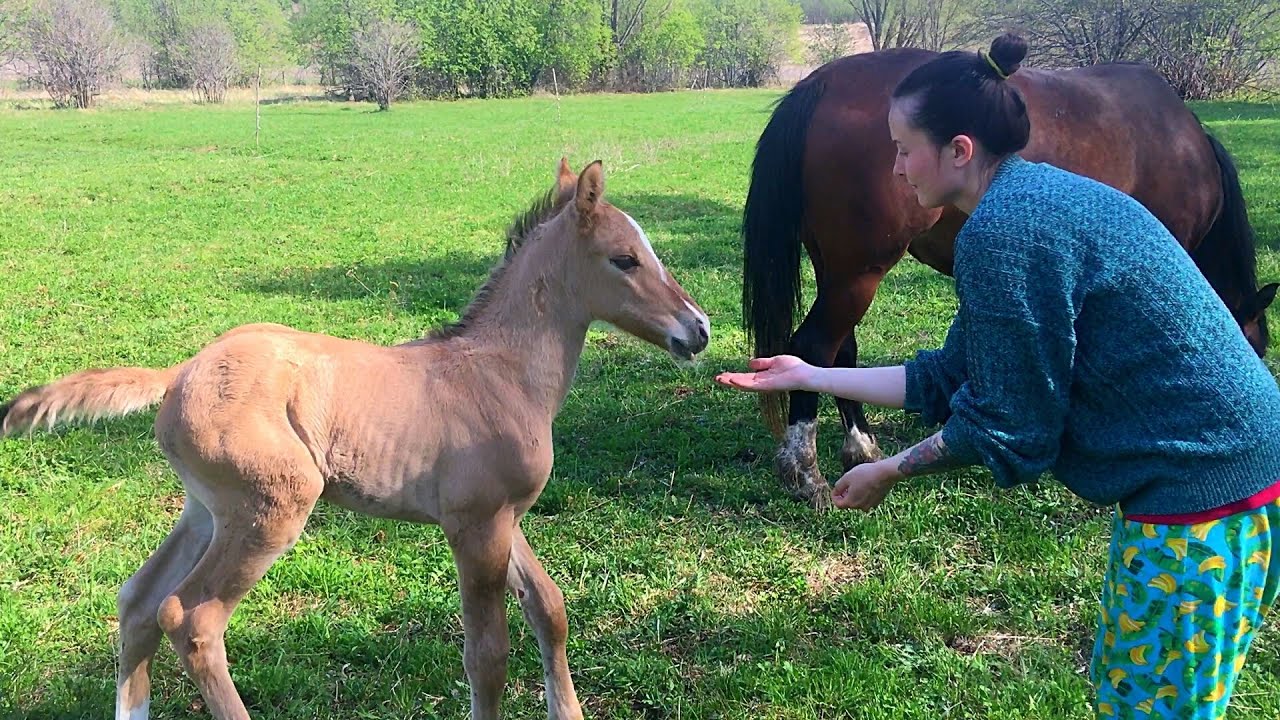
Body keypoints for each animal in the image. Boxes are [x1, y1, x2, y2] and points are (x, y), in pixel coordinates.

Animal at [0, 159, 711, 720]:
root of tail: (178, 373)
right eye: (624, 259)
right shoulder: (476, 524)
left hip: (206, 509)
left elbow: (550, 609)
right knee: (192, 619)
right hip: (273, 507)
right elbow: (487, 657)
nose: (698, 330)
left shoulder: (503, 517)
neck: (498, 374)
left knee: (139, 602)